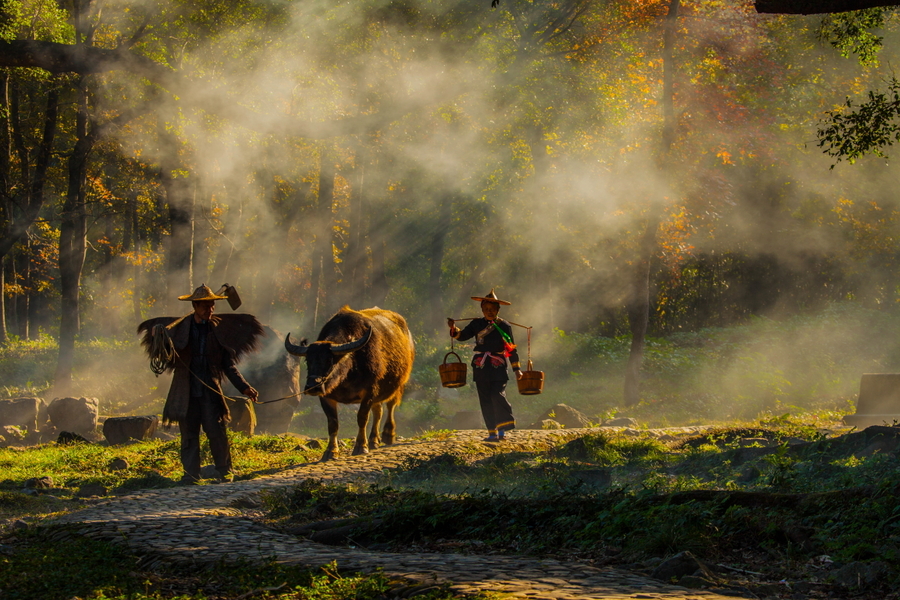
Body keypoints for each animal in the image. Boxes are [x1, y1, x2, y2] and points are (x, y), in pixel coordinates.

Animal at [284, 304, 414, 460]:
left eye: (330, 360)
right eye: (308, 360)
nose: (312, 387)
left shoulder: (369, 391)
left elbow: (362, 418)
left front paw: (360, 446)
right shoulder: (326, 396)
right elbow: (333, 423)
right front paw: (331, 451)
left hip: (398, 384)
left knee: (390, 406)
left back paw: (388, 435)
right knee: (378, 412)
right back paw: (373, 440)